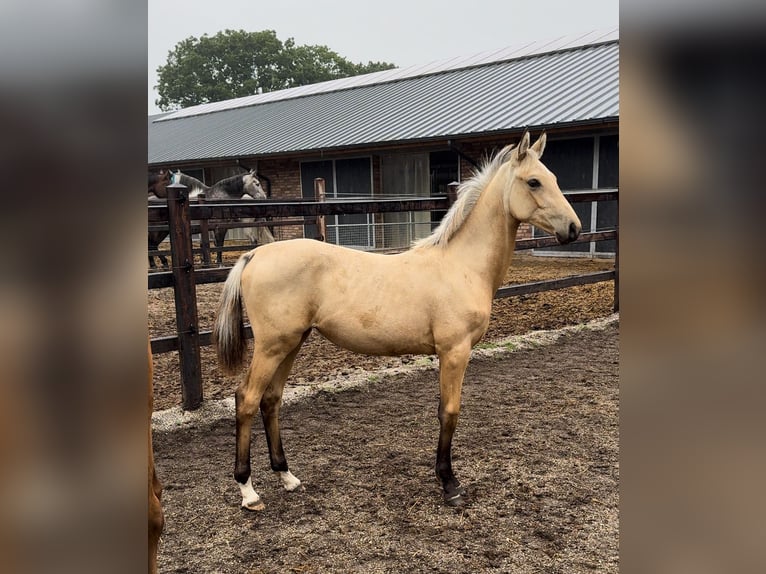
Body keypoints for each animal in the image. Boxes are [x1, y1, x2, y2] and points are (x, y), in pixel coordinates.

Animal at [213, 133, 580, 510]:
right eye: (533, 181)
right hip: (272, 346)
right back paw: (248, 491)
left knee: (271, 400)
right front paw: (450, 484)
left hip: (291, 343)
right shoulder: (454, 352)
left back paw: (287, 477)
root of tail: (254, 254)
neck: (461, 264)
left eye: (553, 178)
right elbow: (449, 411)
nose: (573, 229)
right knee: (247, 399)